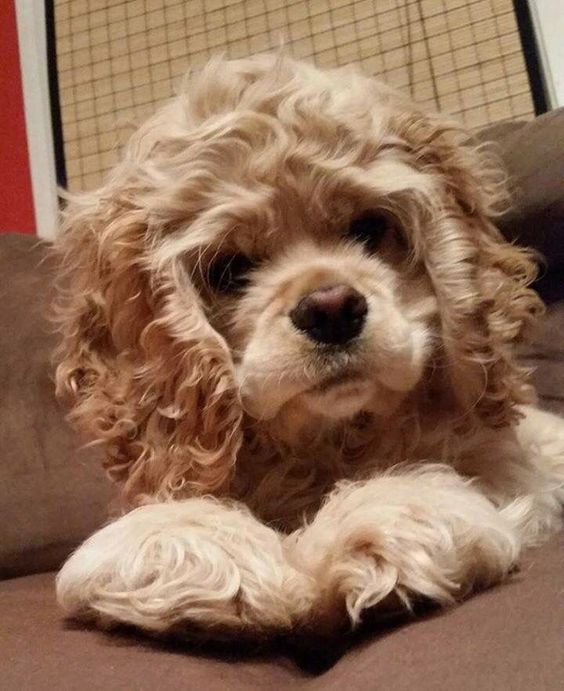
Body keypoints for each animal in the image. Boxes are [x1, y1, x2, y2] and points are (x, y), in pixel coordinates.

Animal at [55, 55, 564, 644]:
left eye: (370, 227)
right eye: (228, 268)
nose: (331, 308)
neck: (323, 443)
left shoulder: (511, 465)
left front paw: (377, 523)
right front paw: (210, 552)